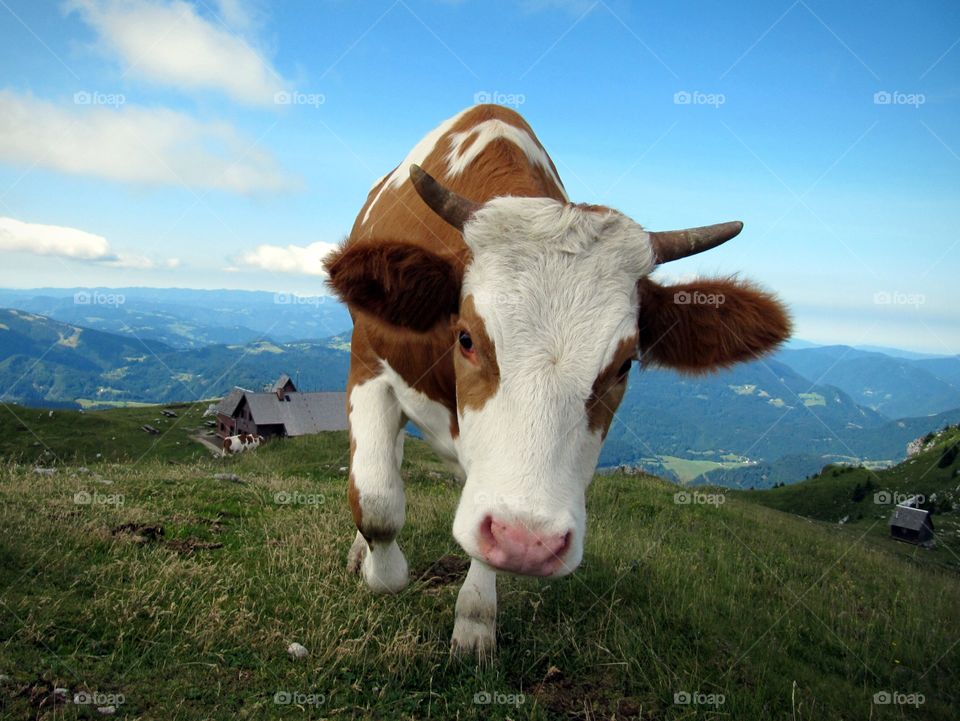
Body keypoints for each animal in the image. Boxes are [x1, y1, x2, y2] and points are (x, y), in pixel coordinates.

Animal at [322, 102, 788, 660]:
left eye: (626, 363)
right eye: (466, 338)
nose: (530, 542)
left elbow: (478, 531)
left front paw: (475, 622)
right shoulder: (368, 361)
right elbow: (377, 502)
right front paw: (380, 572)